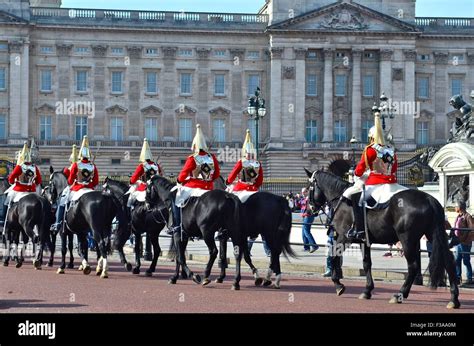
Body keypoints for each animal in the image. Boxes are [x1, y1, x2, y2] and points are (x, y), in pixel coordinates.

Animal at [306, 169, 462, 310]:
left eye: (309, 188)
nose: (310, 209)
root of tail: (429, 199)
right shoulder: (364, 241)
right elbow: (366, 263)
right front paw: (367, 290)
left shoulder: (345, 237)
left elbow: (333, 255)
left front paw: (338, 285)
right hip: (432, 234)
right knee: (448, 260)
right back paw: (454, 299)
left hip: (407, 239)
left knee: (413, 266)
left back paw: (399, 294)